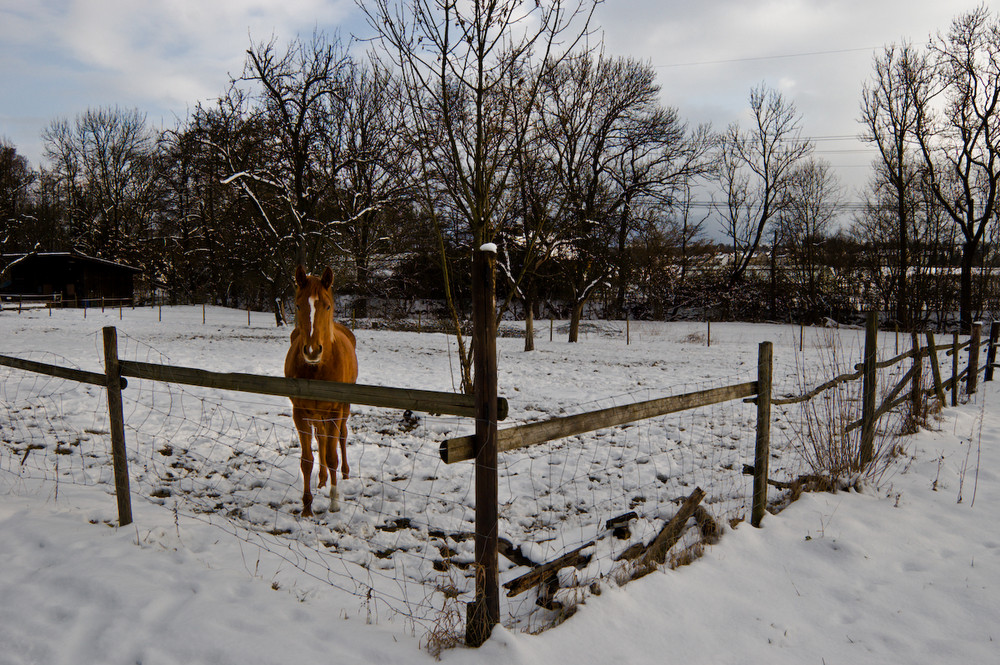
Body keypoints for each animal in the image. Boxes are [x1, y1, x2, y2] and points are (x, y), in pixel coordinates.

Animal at [284, 262, 358, 516]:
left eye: (326, 305)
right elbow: (307, 459)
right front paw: (307, 506)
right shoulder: (300, 413)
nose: (312, 351)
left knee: (341, 438)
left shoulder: (334, 411)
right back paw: (323, 479)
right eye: (298, 305)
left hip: (343, 409)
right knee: (322, 439)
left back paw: (344, 474)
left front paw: (334, 502)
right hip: (317, 415)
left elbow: (332, 455)